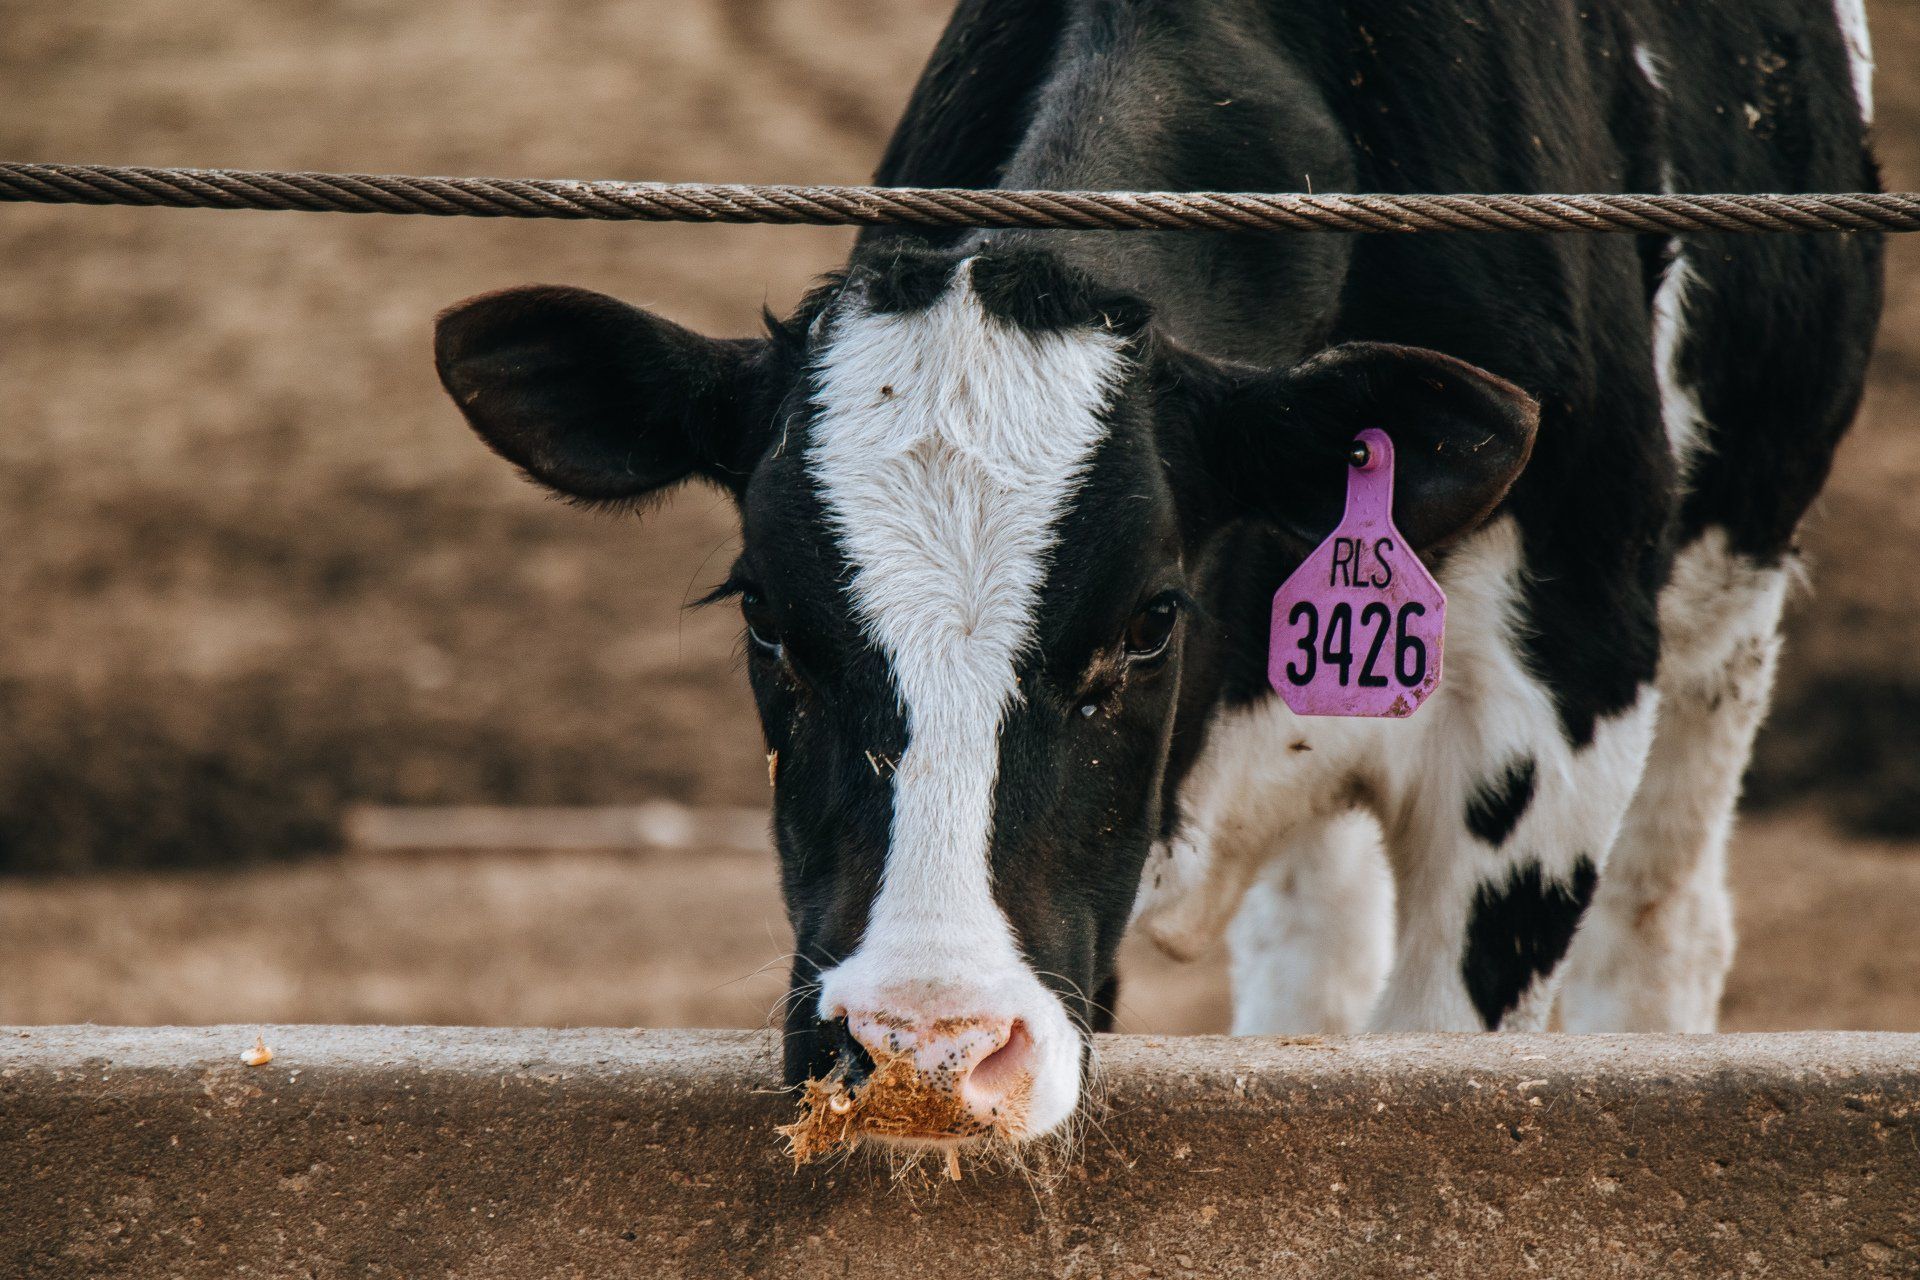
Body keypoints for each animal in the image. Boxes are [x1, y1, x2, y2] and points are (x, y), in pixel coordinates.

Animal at [432, 0, 1882, 1147]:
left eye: (1146, 623)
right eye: (769, 623)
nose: (925, 1051)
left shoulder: (1550, 726)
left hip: (1724, 620)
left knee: (1665, 924)